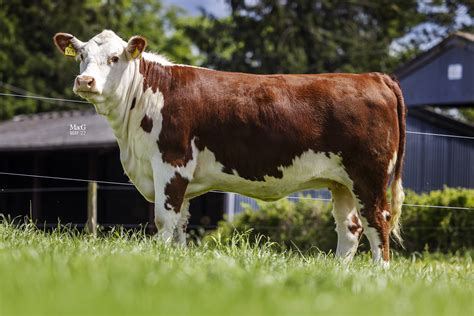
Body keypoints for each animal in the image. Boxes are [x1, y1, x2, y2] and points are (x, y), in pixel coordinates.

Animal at [53, 30, 406, 266]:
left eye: (115, 58)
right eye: (82, 56)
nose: (85, 81)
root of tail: (373, 77)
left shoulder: (172, 162)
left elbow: (164, 220)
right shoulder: (177, 175)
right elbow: (180, 224)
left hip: (369, 175)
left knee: (378, 221)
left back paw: (378, 276)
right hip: (342, 182)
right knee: (350, 228)